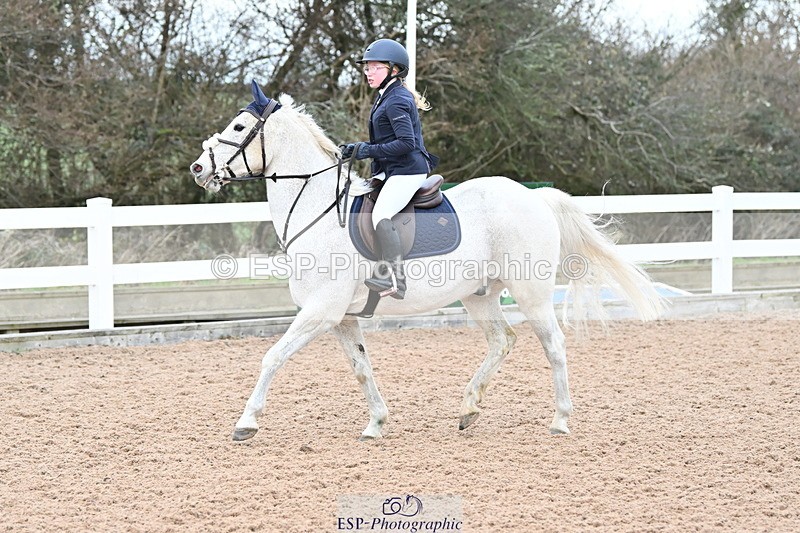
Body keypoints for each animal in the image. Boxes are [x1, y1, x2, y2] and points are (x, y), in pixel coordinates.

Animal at [189, 81, 664, 442]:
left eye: (238, 126)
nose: (197, 168)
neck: (318, 212)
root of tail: (535, 196)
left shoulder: (320, 311)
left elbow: (272, 357)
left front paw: (246, 422)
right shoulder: (341, 318)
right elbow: (361, 368)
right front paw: (376, 424)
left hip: (531, 293)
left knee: (555, 346)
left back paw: (561, 420)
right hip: (479, 295)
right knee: (502, 341)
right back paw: (469, 409)